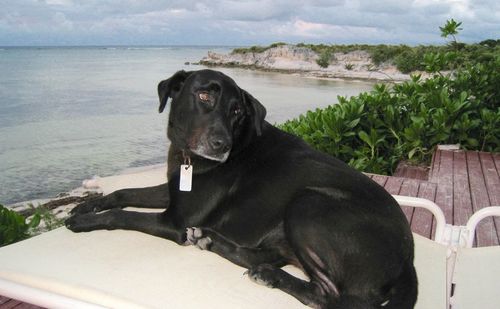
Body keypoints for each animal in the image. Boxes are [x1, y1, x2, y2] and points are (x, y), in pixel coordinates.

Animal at [67, 70, 418, 308]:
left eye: (237, 111)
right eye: (204, 96)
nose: (222, 145)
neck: (188, 157)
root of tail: (407, 261)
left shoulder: (177, 221)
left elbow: (121, 215)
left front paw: (83, 221)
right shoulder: (173, 193)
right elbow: (123, 193)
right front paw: (84, 205)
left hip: (309, 202)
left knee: (329, 296)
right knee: (262, 256)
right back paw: (225, 248)